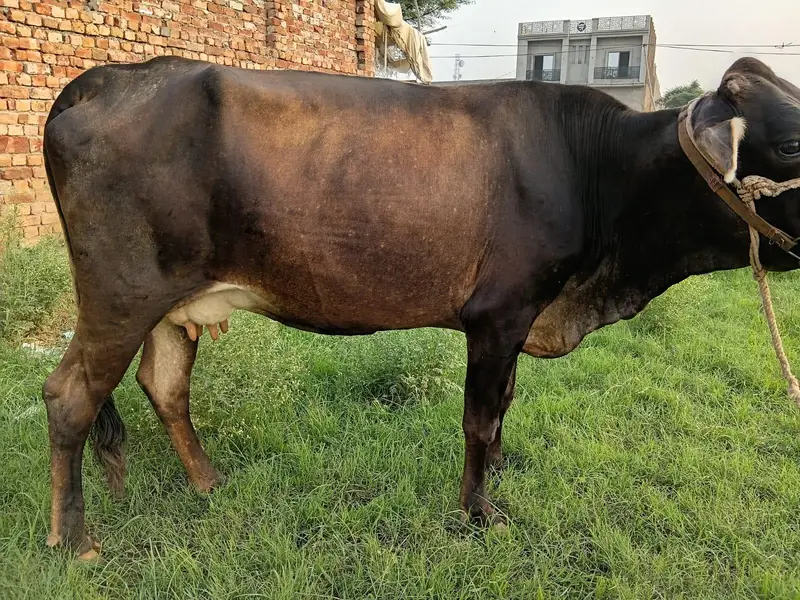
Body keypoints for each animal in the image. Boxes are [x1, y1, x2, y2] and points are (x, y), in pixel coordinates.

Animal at [41, 56, 800, 559]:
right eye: (791, 142)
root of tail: (109, 77)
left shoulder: (520, 316)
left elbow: (506, 405)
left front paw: (498, 472)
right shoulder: (499, 311)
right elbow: (480, 416)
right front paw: (478, 511)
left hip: (172, 302)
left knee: (163, 384)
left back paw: (207, 483)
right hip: (121, 291)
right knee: (69, 395)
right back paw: (75, 540)